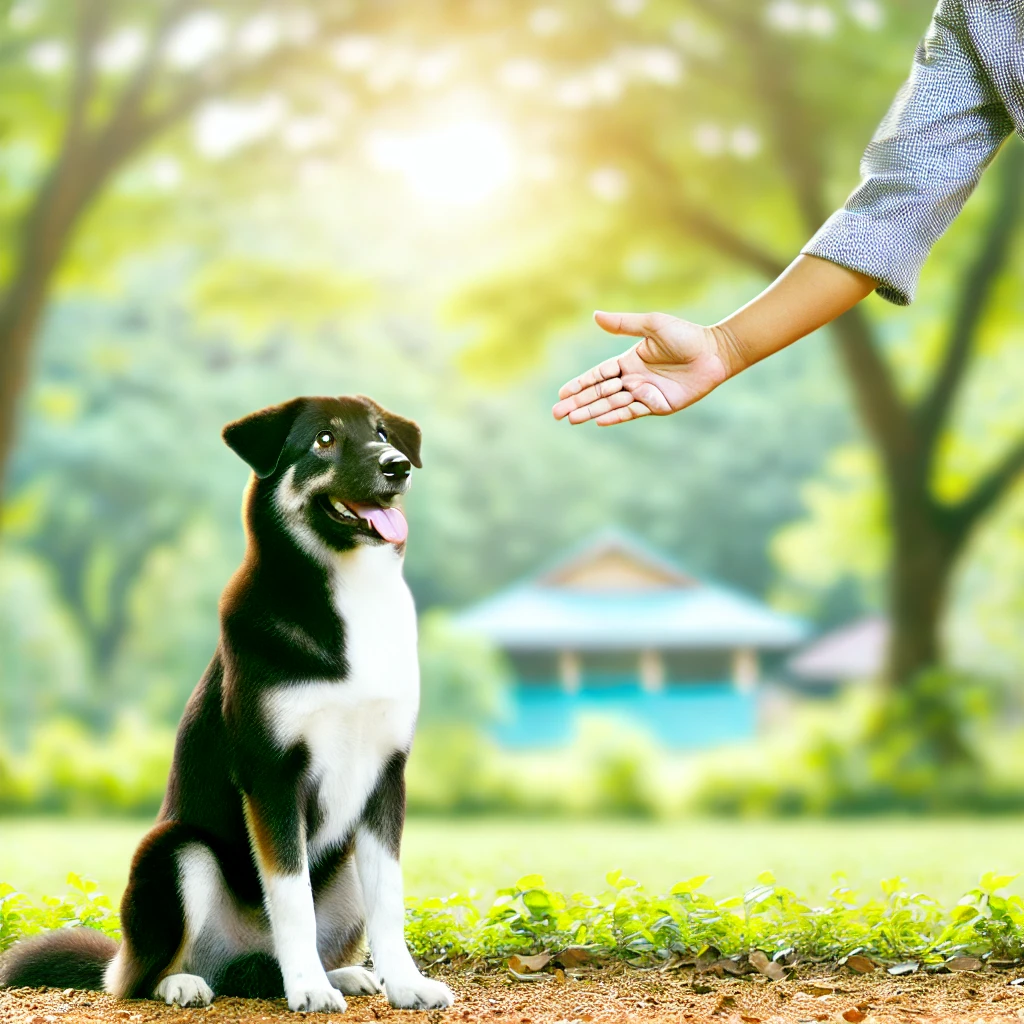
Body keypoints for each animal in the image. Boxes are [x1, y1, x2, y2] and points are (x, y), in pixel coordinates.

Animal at [0, 395, 452, 1011]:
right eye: (325, 440)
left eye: (382, 433)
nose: (398, 465)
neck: (348, 596)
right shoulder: (274, 776)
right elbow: (290, 896)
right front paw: (308, 989)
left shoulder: (387, 776)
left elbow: (389, 900)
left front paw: (404, 983)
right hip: (175, 851)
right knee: (139, 978)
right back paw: (188, 982)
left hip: (338, 867)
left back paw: (340, 973)